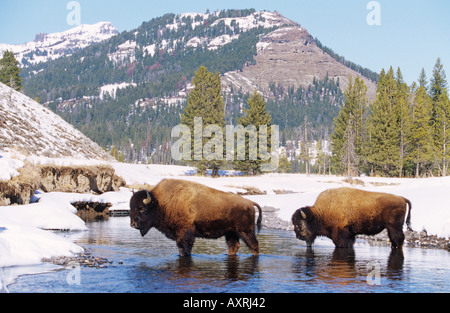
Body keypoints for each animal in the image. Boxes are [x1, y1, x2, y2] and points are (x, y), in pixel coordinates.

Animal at [129, 179, 264, 255]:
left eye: (141, 208)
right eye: (130, 207)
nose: (132, 224)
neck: (160, 203)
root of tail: (250, 202)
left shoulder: (185, 234)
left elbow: (184, 249)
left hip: (246, 231)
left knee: (254, 245)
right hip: (231, 233)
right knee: (234, 246)